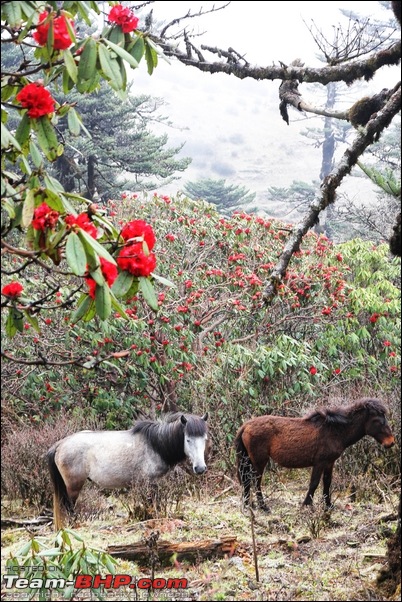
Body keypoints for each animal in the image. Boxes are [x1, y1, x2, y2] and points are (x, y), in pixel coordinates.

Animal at [234, 396, 394, 508]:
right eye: (377, 420)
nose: (391, 442)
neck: (335, 430)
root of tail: (246, 425)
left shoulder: (329, 462)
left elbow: (327, 482)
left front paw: (328, 505)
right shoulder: (320, 462)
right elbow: (314, 483)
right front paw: (306, 504)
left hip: (249, 460)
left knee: (247, 480)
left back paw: (248, 504)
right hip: (259, 460)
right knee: (255, 480)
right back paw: (263, 506)